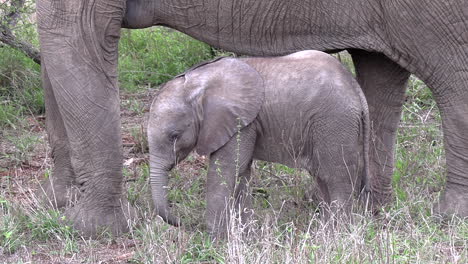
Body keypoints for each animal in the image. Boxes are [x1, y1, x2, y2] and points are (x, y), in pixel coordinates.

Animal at [149, 50, 370, 235]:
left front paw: (214, 237)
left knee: (336, 175)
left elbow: (226, 169)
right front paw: (245, 233)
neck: (200, 81)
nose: (180, 222)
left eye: (174, 136)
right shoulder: (245, 123)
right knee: (322, 177)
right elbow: (242, 172)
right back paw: (324, 230)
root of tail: (357, 90)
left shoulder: (241, 121)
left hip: (335, 122)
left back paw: (338, 233)